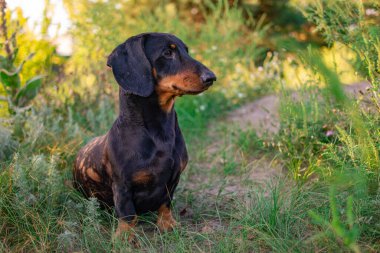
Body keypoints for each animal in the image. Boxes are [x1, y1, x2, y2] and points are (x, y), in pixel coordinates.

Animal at [72, 32, 215, 242]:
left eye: (186, 50)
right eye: (167, 52)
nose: (211, 77)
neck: (158, 134)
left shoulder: (173, 179)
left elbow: (165, 204)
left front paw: (167, 225)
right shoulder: (122, 185)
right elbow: (127, 213)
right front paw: (124, 237)